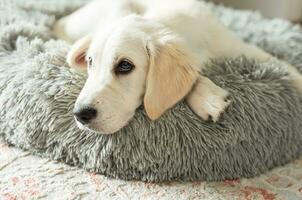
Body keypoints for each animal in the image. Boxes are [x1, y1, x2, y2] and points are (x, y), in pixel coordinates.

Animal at [54, 0, 302, 134]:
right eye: (90, 62)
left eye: (125, 65)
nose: (80, 114)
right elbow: (193, 76)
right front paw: (209, 98)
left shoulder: (242, 49)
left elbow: (288, 69)